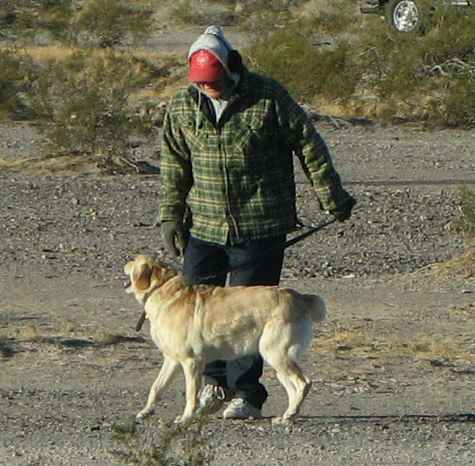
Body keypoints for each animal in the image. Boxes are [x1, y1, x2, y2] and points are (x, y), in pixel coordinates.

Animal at [124, 256, 328, 424]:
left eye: (134, 260)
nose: (125, 263)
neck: (162, 290)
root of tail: (299, 297)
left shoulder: (191, 362)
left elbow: (191, 395)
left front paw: (186, 417)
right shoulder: (172, 360)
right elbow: (156, 388)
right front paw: (146, 412)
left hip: (276, 354)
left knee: (304, 383)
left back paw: (290, 412)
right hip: (276, 360)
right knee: (293, 389)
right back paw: (288, 416)